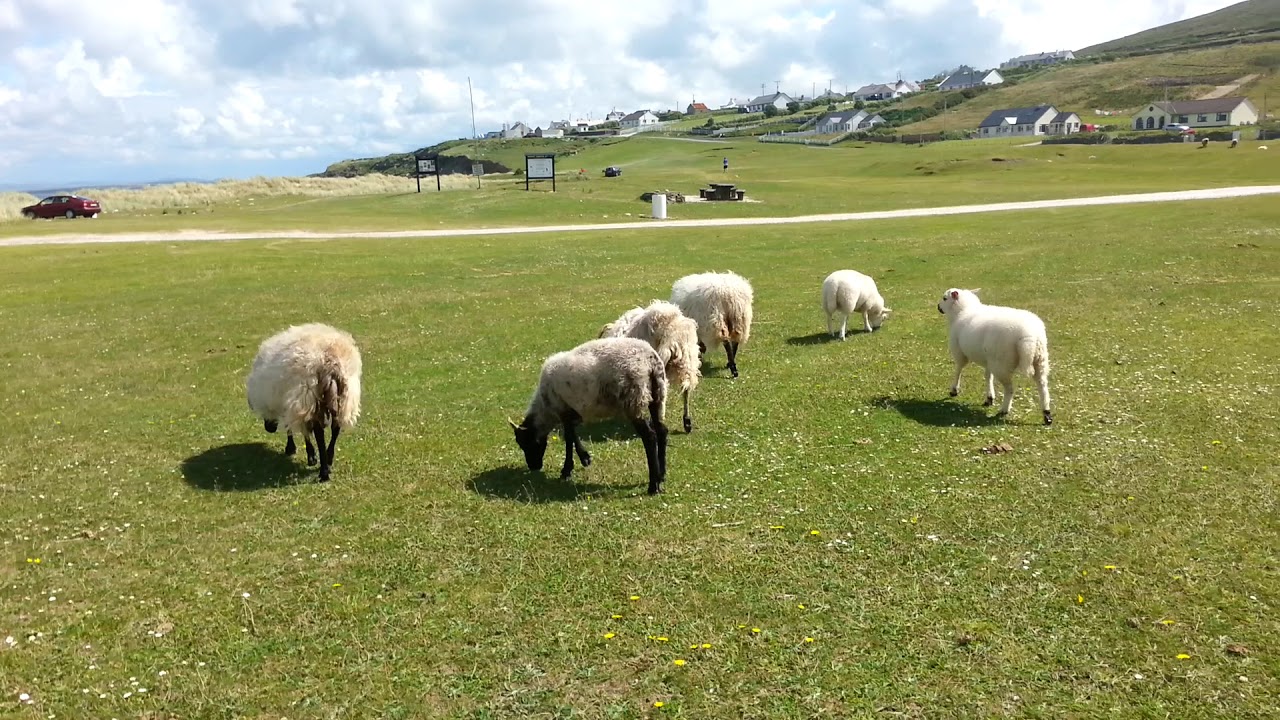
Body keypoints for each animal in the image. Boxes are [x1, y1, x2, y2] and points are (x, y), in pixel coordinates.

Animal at [246, 323, 363, 481]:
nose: (269, 429)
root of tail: (330, 361)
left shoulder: (293, 404)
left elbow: (297, 430)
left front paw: (301, 452)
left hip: (309, 395)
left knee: (319, 433)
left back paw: (324, 472)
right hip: (345, 398)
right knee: (336, 428)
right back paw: (329, 459)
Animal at [509, 337, 670, 495]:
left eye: (526, 443)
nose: (533, 467)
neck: (546, 410)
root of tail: (649, 359)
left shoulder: (563, 409)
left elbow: (569, 439)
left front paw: (567, 470)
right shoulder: (573, 413)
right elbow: (572, 435)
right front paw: (585, 458)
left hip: (634, 399)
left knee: (649, 437)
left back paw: (653, 485)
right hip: (658, 395)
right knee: (661, 431)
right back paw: (661, 475)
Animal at [936, 288, 1052, 425]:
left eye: (944, 298)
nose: (938, 307)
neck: (962, 311)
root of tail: (1029, 335)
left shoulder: (959, 351)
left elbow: (958, 370)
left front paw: (954, 390)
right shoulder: (989, 360)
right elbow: (988, 376)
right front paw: (989, 398)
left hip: (1002, 364)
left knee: (1010, 389)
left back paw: (1004, 410)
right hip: (1039, 361)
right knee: (1043, 386)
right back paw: (1047, 414)